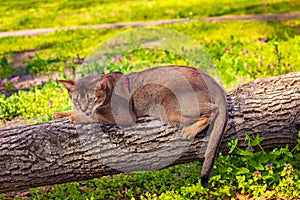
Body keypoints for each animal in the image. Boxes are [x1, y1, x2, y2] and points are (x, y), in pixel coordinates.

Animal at [54, 65, 227, 188]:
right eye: (76, 100)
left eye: (91, 99)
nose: (84, 108)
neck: (110, 88)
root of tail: (211, 79)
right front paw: (59, 114)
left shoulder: (124, 116)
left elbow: (95, 115)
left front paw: (75, 116)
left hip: (171, 109)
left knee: (214, 110)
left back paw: (189, 131)